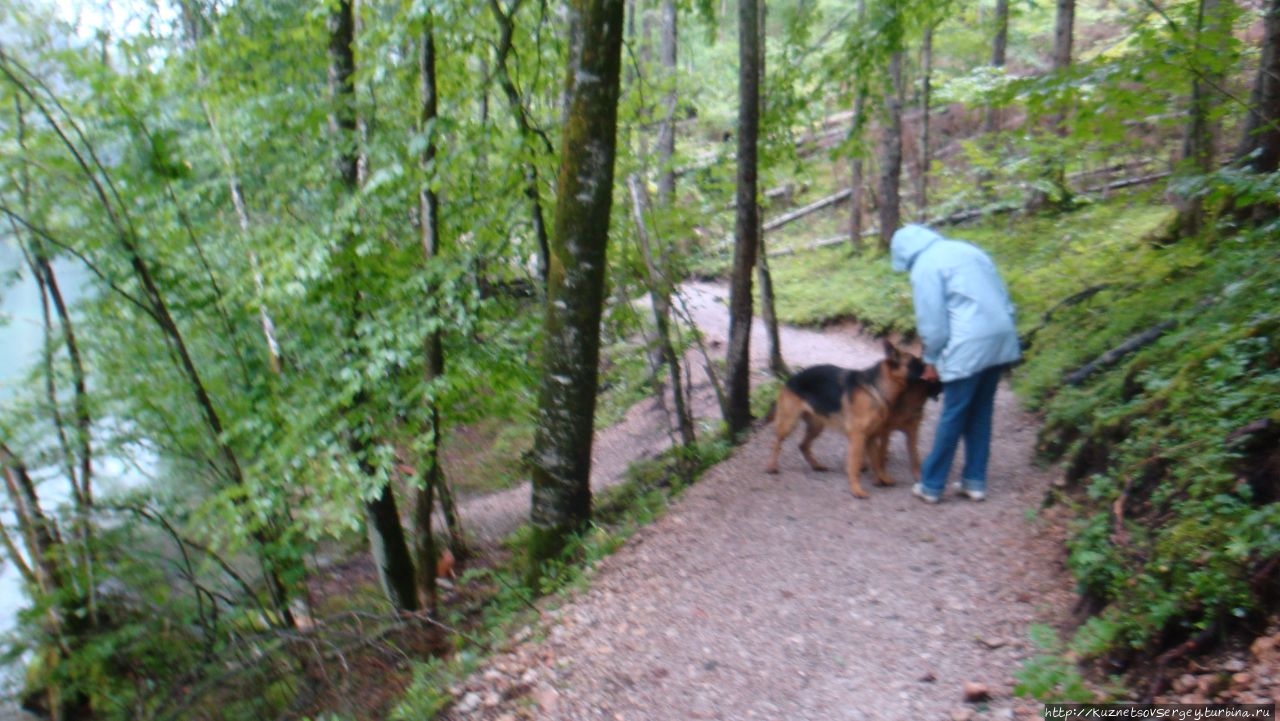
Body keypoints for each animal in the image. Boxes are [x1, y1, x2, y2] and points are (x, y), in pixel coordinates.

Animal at [762, 340, 916, 499]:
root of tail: (790, 379)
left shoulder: (870, 437)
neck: (875, 387)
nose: (926, 368)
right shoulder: (858, 438)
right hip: (789, 423)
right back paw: (771, 466)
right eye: (916, 364)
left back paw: (816, 465)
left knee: (803, 445)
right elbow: (854, 465)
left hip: (817, 426)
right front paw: (856, 490)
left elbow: (876, 462)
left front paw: (883, 478)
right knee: (777, 442)